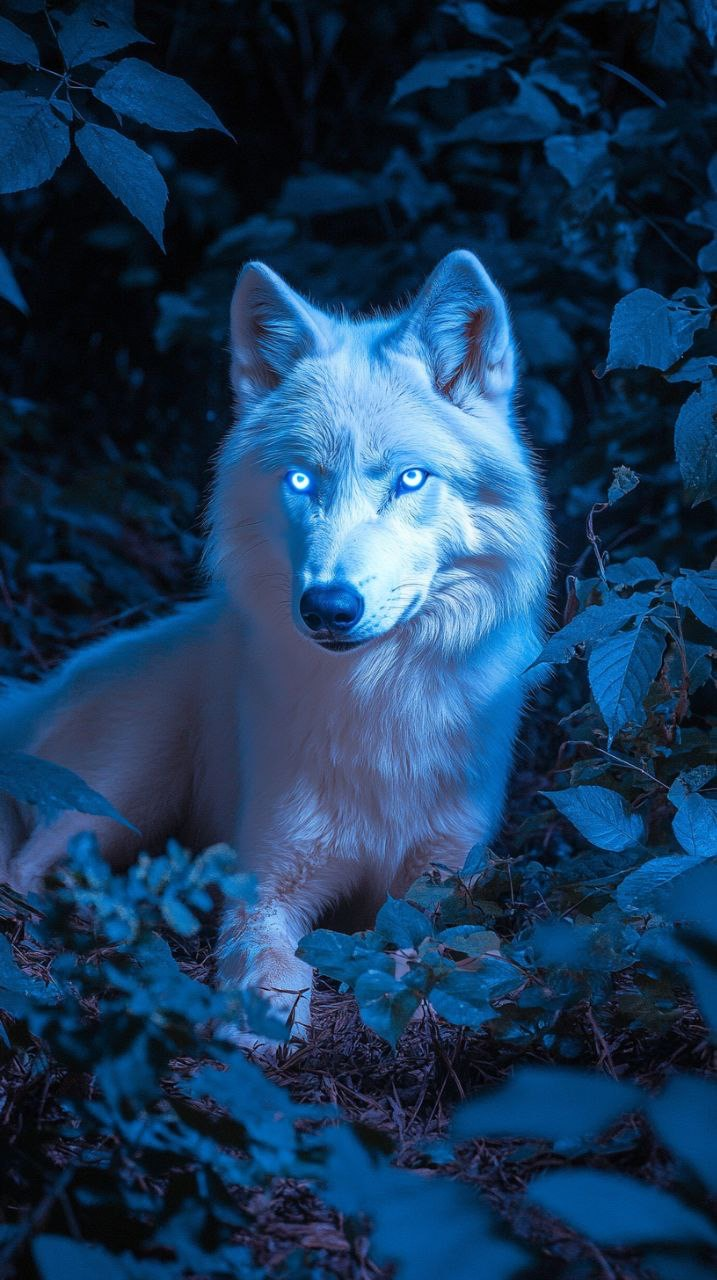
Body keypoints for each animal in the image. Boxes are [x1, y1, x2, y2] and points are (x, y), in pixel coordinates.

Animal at [0, 249, 550, 1039]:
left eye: (410, 479)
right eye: (301, 480)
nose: (328, 607)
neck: (377, 701)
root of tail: (37, 694)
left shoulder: (445, 875)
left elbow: (445, 947)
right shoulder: (270, 874)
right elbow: (262, 953)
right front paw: (261, 1015)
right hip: (122, 790)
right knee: (25, 871)